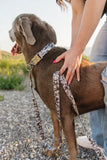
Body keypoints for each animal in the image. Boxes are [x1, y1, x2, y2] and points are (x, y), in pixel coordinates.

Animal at [9, 13, 107, 159]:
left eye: (12, 25)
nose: (8, 31)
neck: (41, 56)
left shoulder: (66, 115)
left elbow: (72, 148)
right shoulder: (54, 110)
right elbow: (56, 134)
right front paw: (52, 151)